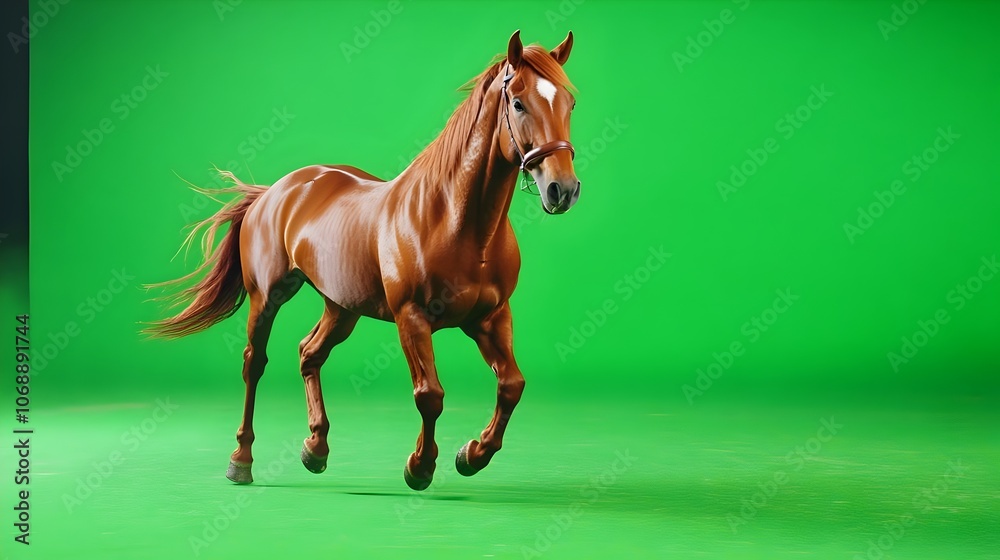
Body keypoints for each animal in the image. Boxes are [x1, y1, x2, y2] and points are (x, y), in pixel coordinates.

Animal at [147, 30, 580, 491]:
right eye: (518, 103)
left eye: (569, 103)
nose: (563, 189)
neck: (453, 220)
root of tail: (275, 190)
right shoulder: (412, 318)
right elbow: (430, 395)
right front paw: (419, 467)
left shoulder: (491, 317)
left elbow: (511, 385)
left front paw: (471, 455)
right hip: (267, 298)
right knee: (255, 364)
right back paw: (241, 460)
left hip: (342, 307)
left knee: (309, 353)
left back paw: (316, 449)